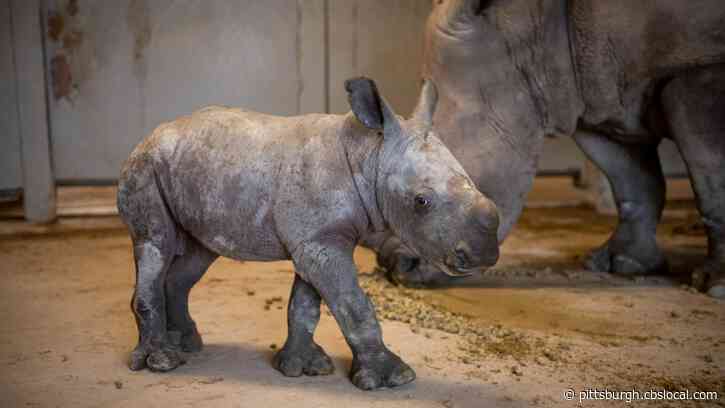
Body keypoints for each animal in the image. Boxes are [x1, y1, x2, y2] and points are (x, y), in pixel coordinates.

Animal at [116, 77, 499, 390]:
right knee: (155, 245)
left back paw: (187, 344)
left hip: (191, 174)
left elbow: (305, 304)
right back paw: (162, 362)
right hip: (145, 167)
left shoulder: (316, 238)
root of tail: (148, 137)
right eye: (421, 201)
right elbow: (353, 304)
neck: (370, 153)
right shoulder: (319, 244)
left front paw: (301, 368)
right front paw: (393, 378)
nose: (485, 254)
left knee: (197, 253)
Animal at [371, 0, 725, 298]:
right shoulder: (598, 91)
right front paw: (622, 265)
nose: (395, 269)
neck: (530, 38)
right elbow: (632, 180)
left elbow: (710, 176)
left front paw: (715, 285)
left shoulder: (697, 68)